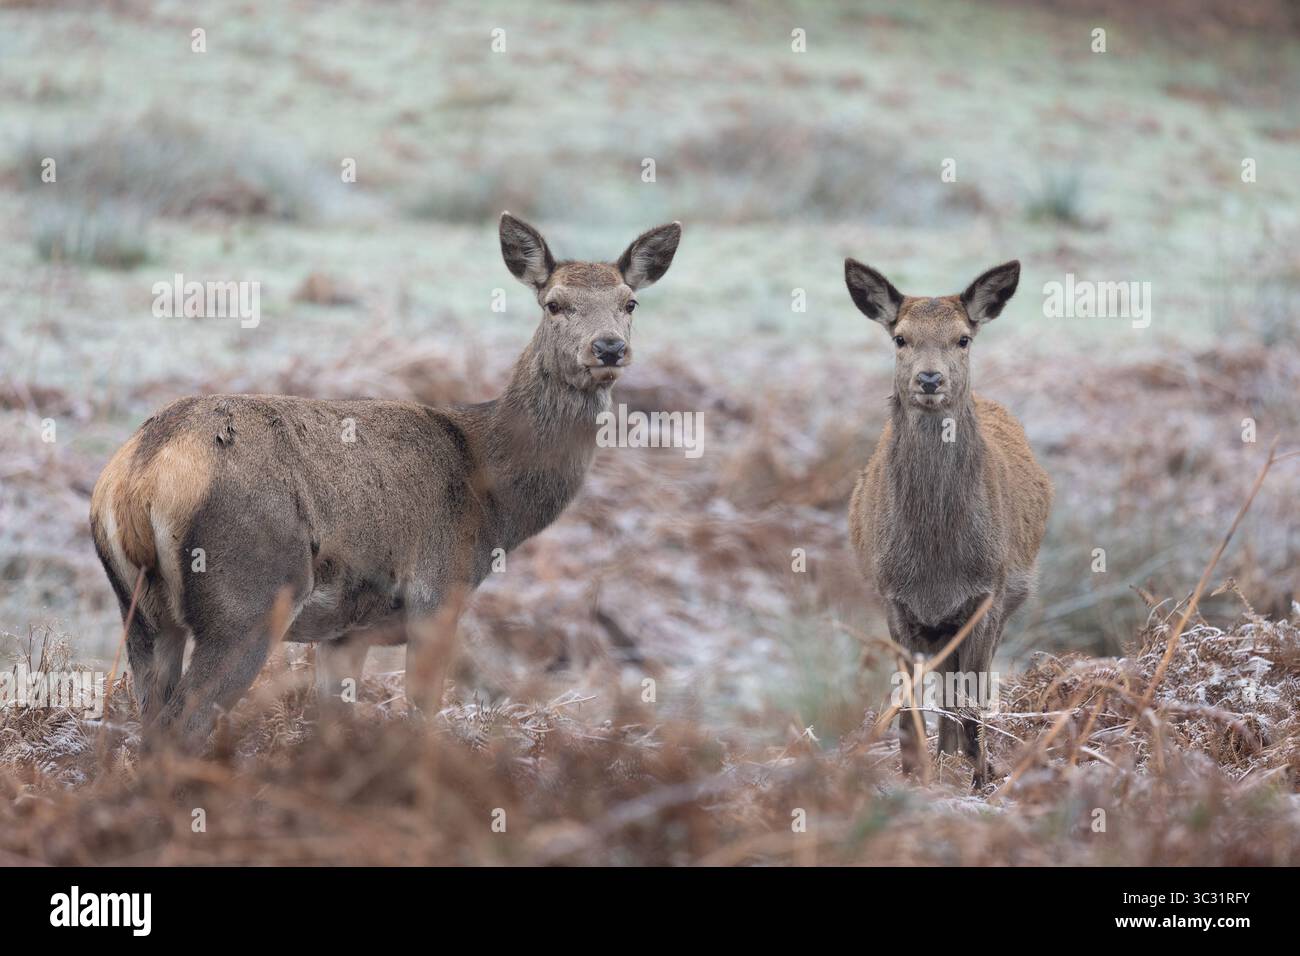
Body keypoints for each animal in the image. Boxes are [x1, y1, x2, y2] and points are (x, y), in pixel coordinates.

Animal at [89, 213, 681, 752]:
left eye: (630, 302)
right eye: (554, 303)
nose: (608, 347)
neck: (491, 495)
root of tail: (138, 476)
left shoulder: (346, 631)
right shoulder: (437, 592)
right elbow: (421, 712)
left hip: (139, 610)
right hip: (249, 592)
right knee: (180, 727)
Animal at [844, 258, 1052, 787]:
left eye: (963, 338)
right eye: (900, 337)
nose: (930, 379)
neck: (937, 561)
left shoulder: (987, 596)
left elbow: (972, 706)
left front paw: (981, 780)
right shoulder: (894, 599)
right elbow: (908, 707)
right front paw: (915, 774)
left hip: (1008, 599)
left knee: (963, 690)